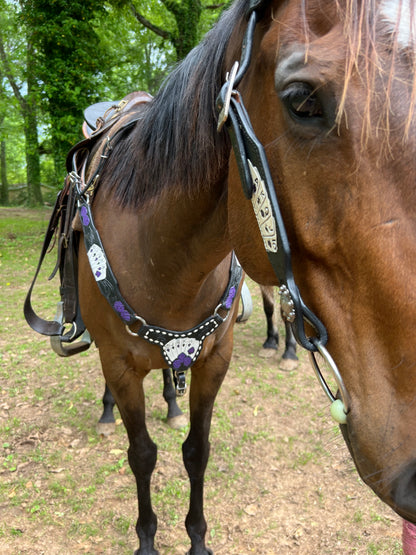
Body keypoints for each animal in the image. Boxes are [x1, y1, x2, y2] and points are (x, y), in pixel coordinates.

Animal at [26, 0, 416, 552]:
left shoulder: (215, 360)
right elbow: (141, 454)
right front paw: (147, 537)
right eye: (302, 100)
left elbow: (197, 449)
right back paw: (107, 411)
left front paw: (196, 537)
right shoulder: (120, 365)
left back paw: (170, 402)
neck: (167, 261)